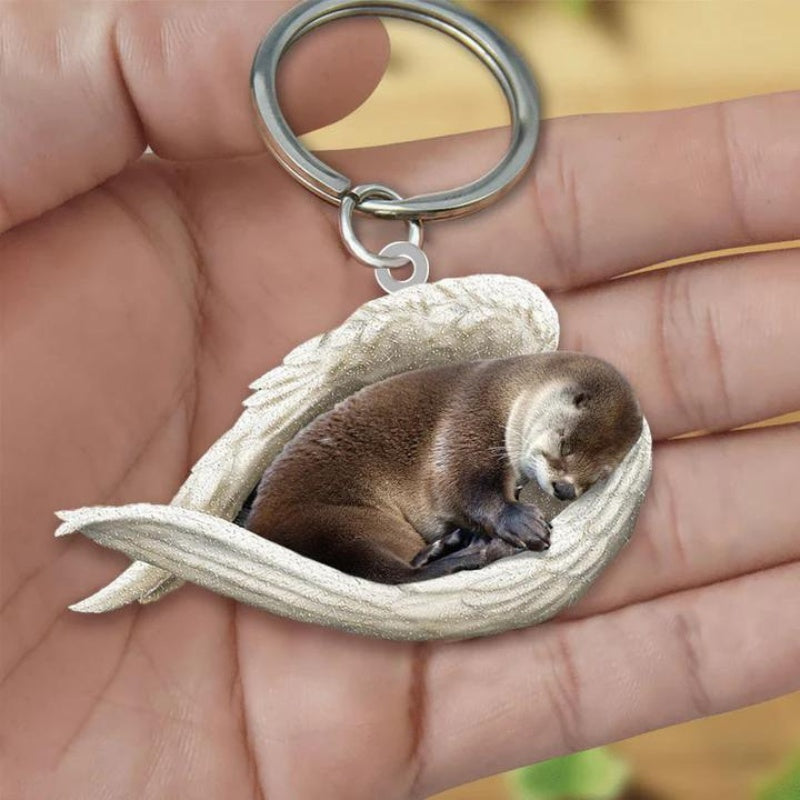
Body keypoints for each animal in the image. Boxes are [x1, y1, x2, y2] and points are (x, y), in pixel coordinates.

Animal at [240, 352, 643, 584]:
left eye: (597, 476)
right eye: (564, 442)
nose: (564, 490)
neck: (507, 392)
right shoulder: (470, 417)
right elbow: (460, 484)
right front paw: (521, 522)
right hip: (337, 521)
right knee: (397, 572)